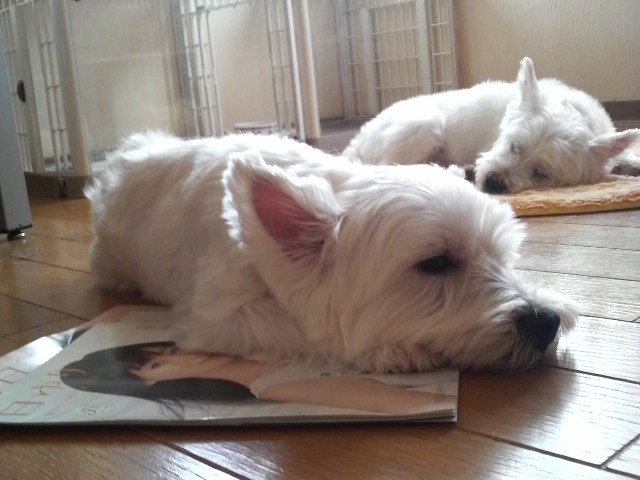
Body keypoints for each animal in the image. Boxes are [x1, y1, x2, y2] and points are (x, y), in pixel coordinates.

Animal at [86, 131, 578, 373]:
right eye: (436, 262)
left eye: (503, 256)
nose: (546, 321)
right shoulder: (215, 315)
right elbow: (298, 329)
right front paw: (392, 351)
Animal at [344, 57, 640, 194]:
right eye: (514, 146)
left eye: (542, 173)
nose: (494, 182)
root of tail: (358, 138)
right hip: (425, 128)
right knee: (391, 166)